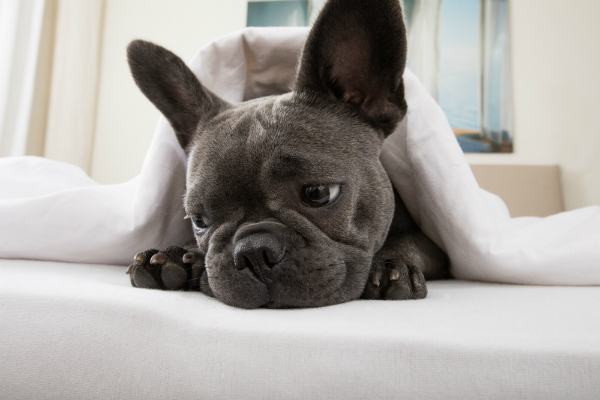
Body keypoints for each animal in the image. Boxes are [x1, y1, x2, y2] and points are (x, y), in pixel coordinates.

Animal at [125, 0, 446, 310]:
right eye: (199, 220)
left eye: (319, 193)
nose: (254, 251)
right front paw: (176, 255)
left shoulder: (437, 246)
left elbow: (411, 242)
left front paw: (391, 265)